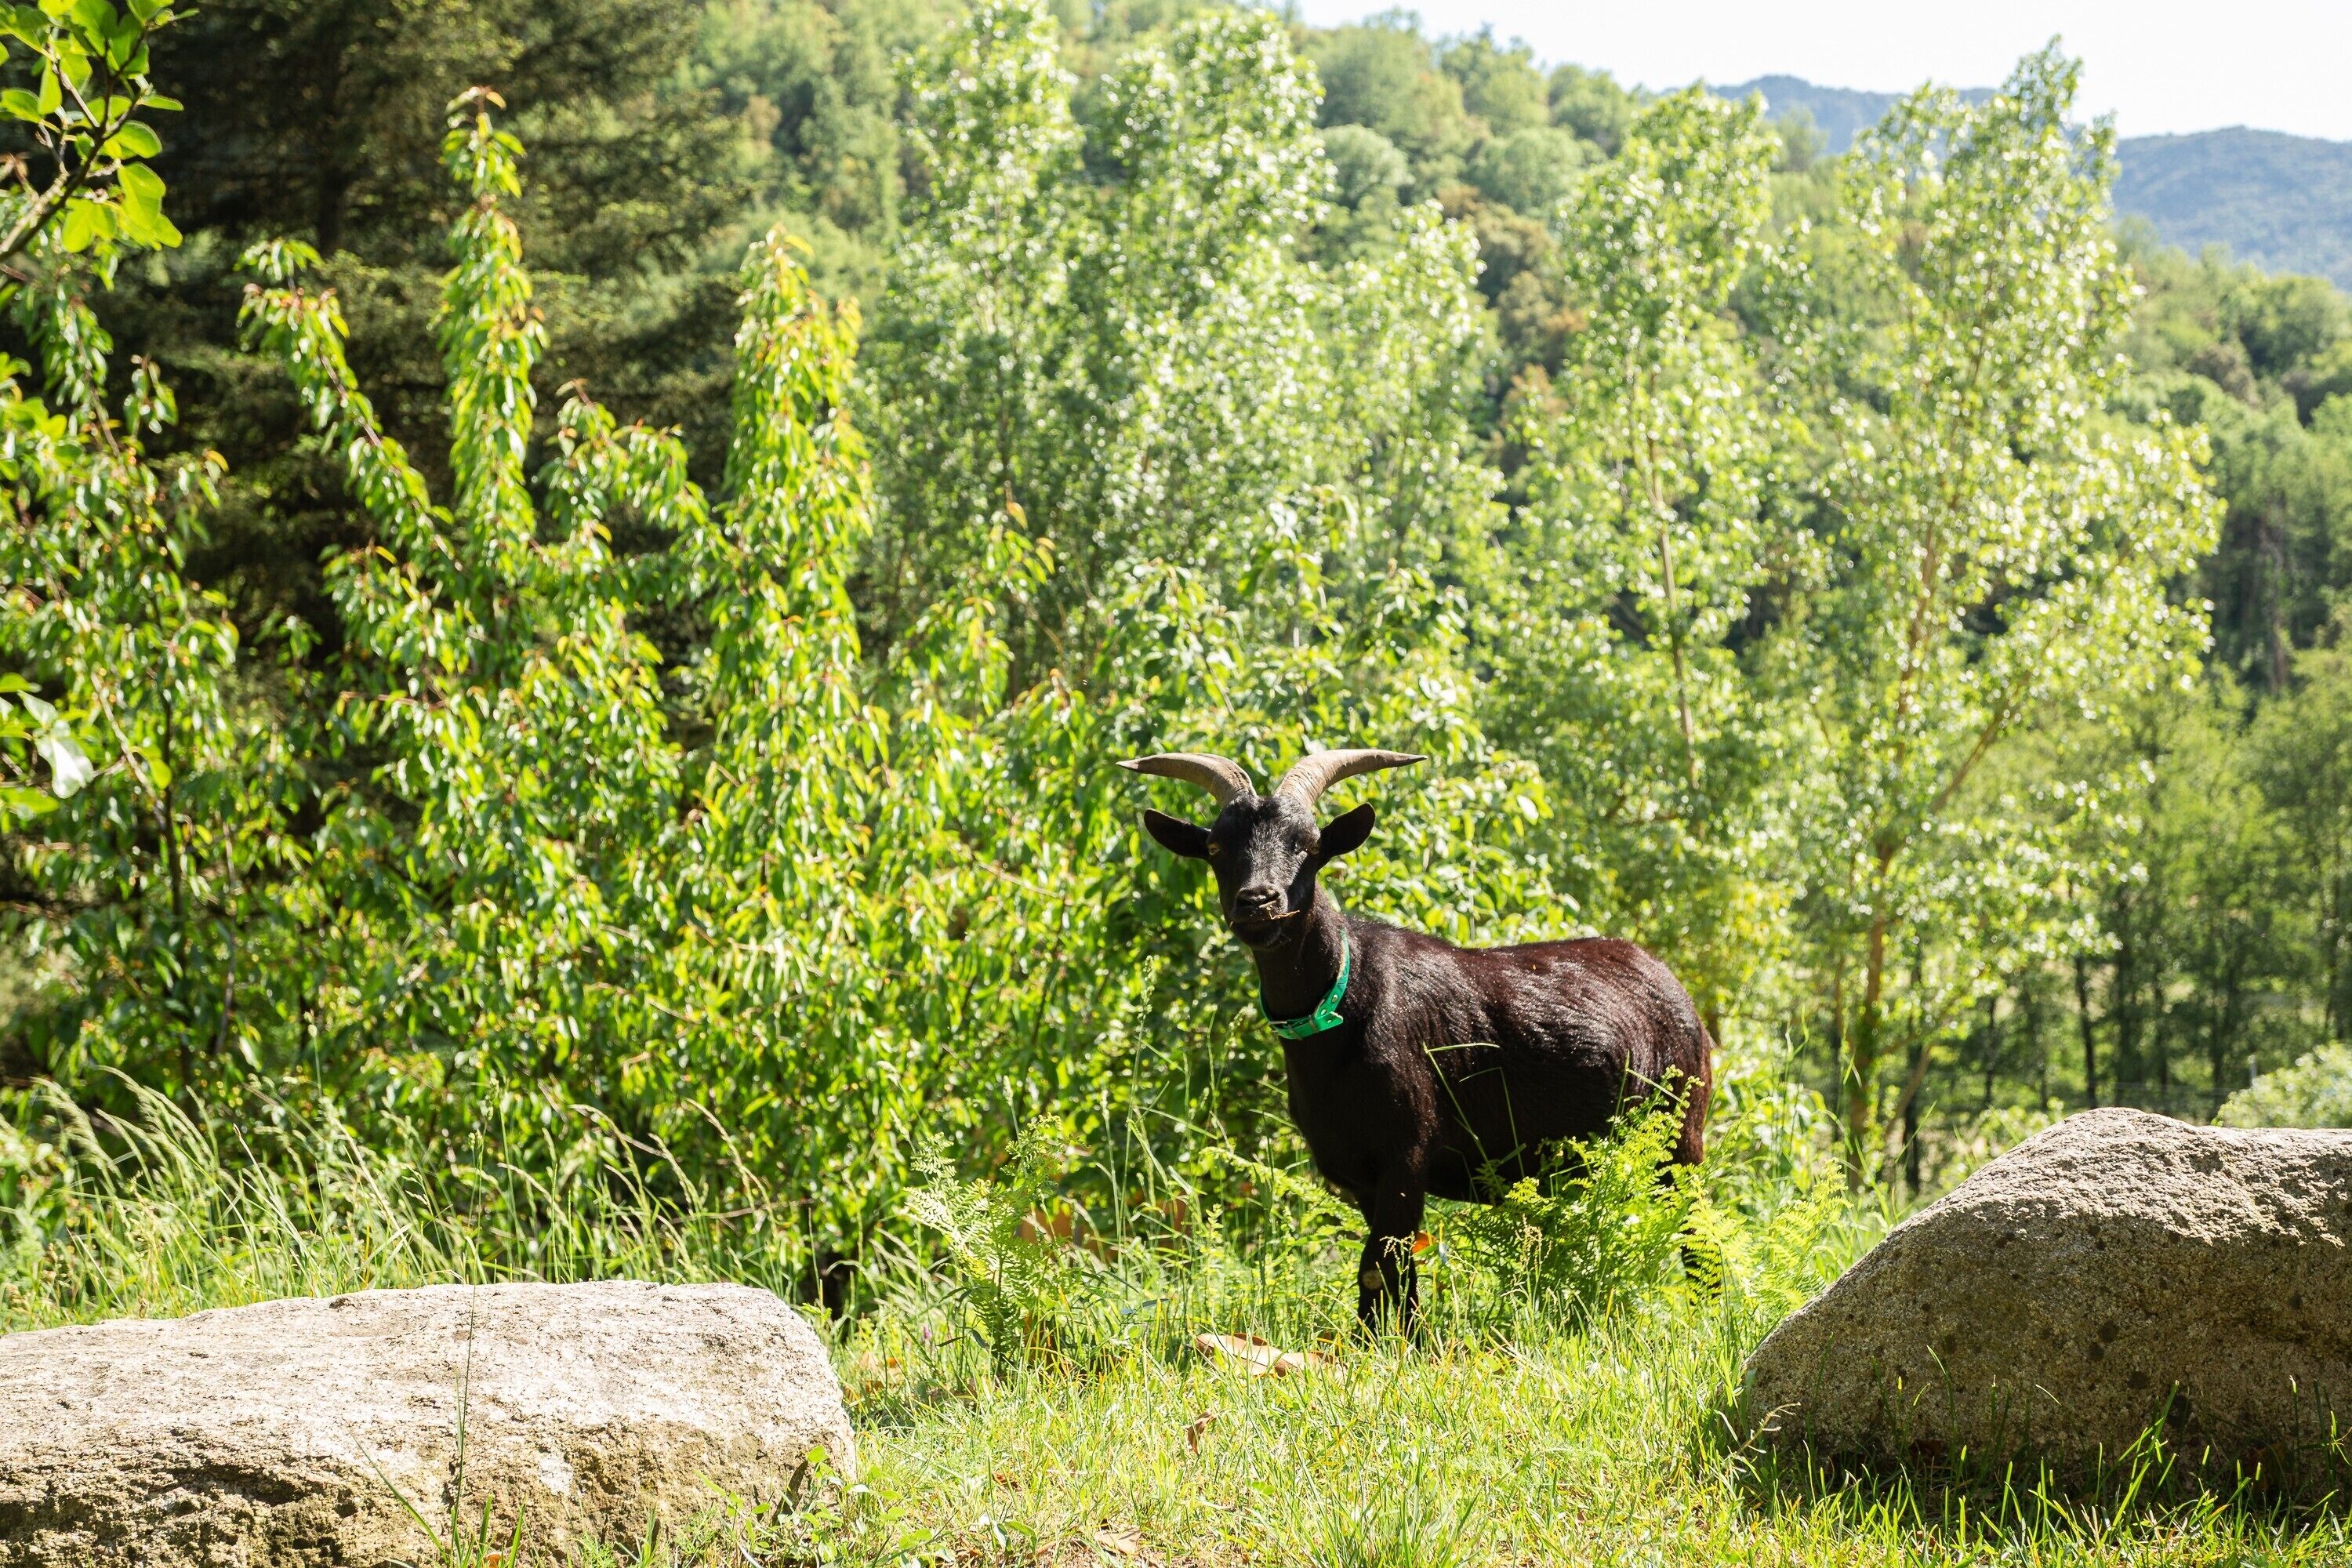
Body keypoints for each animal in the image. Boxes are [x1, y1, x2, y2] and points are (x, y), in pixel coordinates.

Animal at [1121, 747, 1712, 1331]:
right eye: (1216, 846)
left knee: (1698, 1233)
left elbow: (1381, 1263)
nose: (1258, 902)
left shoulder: (1406, 1151)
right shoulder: (1360, 1173)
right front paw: (1391, 1341)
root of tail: (1672, 983)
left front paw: (1395, 1346)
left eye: (1310, 846)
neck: (1343, 1002)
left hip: (1680, 1136)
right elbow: (1390, 1268)